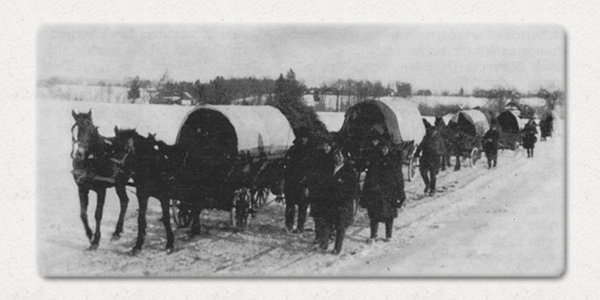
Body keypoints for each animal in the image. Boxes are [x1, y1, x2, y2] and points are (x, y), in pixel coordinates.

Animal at [70, 110, 132, 251]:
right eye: (76, 128)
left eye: (91, 128)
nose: (79, 154)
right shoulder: (82, 188)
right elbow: (83, 214)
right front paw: (90, 234)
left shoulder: (101, 190)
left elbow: (98, 214)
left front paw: (95, 241)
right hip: (119, 184)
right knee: (124, 201)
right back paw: (117, 232)